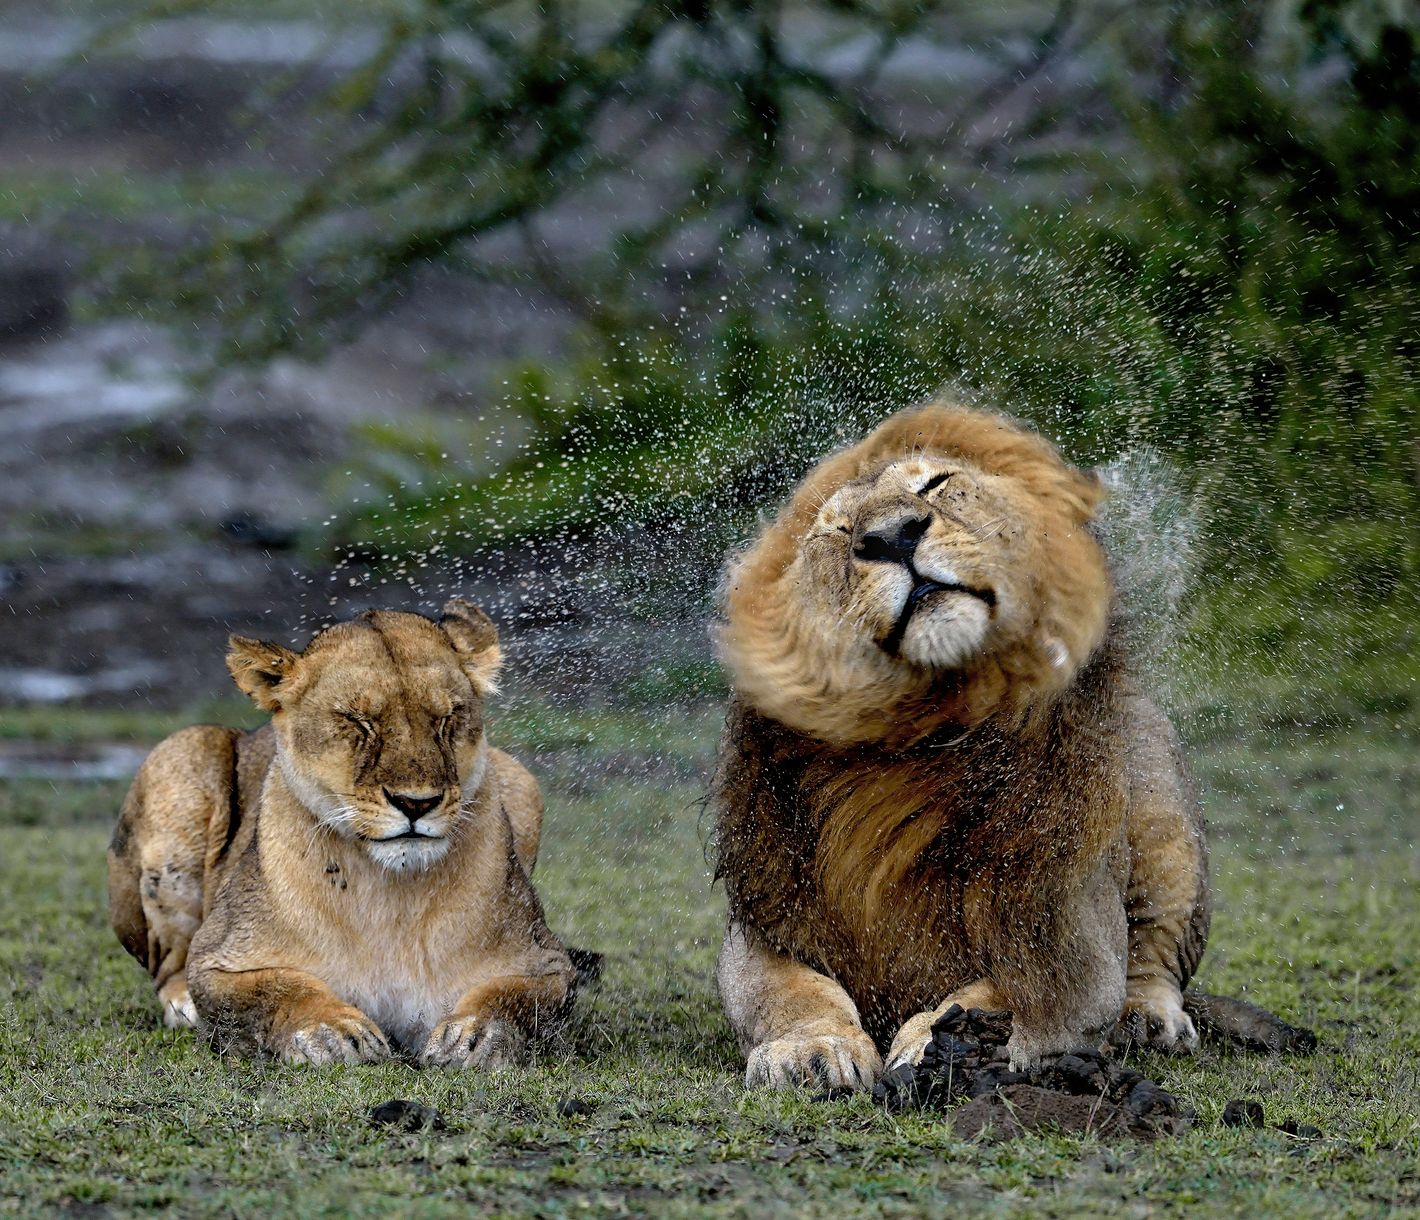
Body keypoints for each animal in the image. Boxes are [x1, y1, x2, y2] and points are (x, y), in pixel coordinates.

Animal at [108, 599, 575, 1068]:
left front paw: (473, 1036)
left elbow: (515, 998)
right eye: (358, 720)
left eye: (447, 719)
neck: (391, 900)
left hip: (519, 775)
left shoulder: (547, 962)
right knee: (167, 966)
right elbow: (277, 990)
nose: (416, 803)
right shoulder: (219, 959)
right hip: (182, 754)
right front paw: (332, 1031)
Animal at [712, 403, 1214, 1088]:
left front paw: (937, 1049)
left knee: (1155, 953)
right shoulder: (768, 919)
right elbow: (789, 992)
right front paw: (813, 1050)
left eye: (935, 484)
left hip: (1169, 841)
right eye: (837, 532)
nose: (892, 537)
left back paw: (1149, 1020)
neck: (923, 747)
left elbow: (999, 996)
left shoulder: (1072, 939)